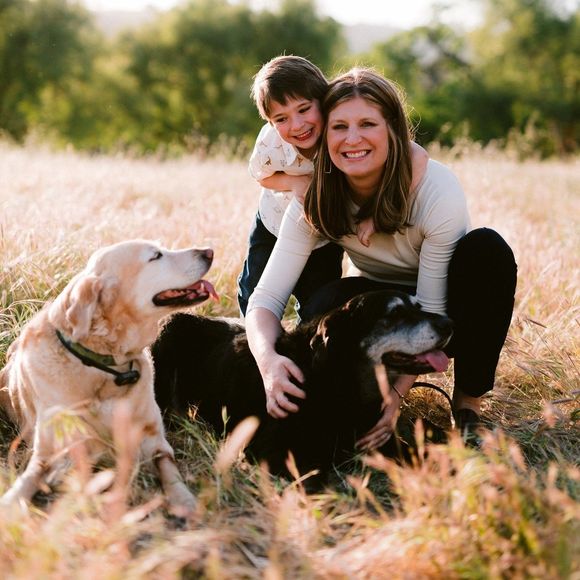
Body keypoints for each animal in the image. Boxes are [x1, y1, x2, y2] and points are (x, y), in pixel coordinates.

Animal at [0, 239, 217, 514]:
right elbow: (29, 478)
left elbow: (168, 468)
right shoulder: (49, 452)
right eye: (156, 256)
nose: (209, 251)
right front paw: (10, 502)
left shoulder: (155, 440)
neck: (107, 368)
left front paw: (184, 499)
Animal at [152, 290, 453, 482]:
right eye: (395, 313)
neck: (336, 381)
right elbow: (315, 476)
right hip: (168, 328)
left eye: (418, 307)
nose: (449, 322)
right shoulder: (270, 453)